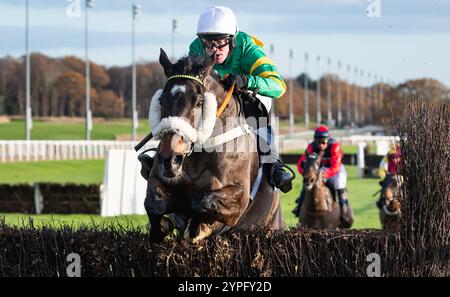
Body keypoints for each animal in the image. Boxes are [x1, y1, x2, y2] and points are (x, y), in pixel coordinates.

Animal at [144, 48, 284, 242]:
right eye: (161, 101)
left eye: (199, 102)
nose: (170, 160)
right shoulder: (158, 178)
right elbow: (153, 203)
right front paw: (161, 228)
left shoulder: (239, 196)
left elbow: (203, 202)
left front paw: (198, 228)